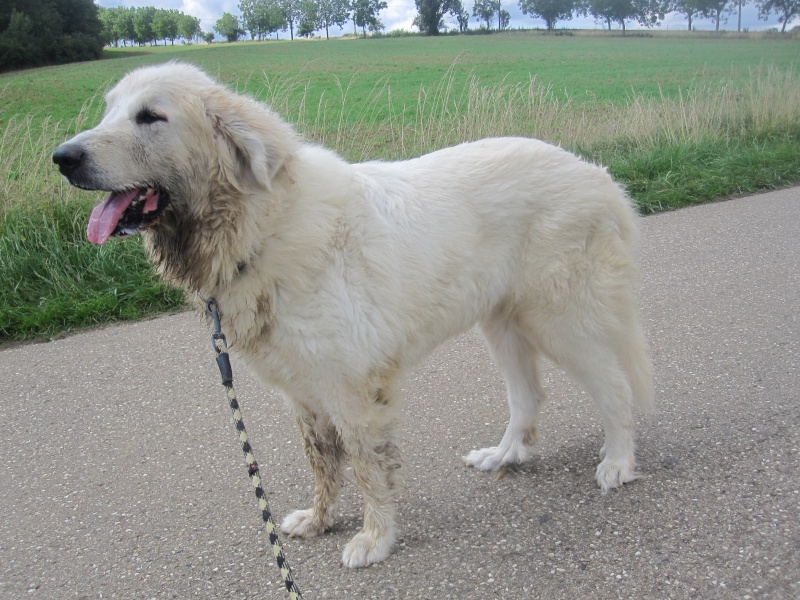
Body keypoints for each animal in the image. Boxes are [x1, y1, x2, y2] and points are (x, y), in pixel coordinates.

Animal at [53, 63, 652, 568]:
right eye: (108, 110)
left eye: (150, 116)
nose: (63, 157)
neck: (259, 227)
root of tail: (596, 174)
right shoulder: (305, 393)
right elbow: (322, 464)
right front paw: (319, 521)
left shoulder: (354, 390)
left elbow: (368, 470)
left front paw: (374, 539)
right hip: (503, 323)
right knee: (527, 397)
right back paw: (504, 455)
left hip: (562, 319)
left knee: (616, 386)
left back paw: (619, 462)